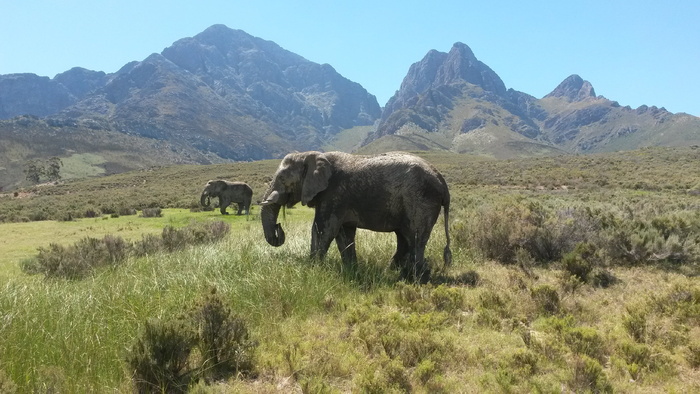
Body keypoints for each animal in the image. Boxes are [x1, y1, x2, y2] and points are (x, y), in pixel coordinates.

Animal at [260, 149, 452, 282]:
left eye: (282, 178)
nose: (278, 228)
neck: (310, 155)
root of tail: (443, 184)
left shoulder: (333, 194)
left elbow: (323, 230)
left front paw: (313, 271)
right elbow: (344, 234)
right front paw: (351, 271)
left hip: (421, 200)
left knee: (415, 238)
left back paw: (417, 279)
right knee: (404, 238)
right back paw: (394, 273)